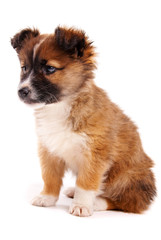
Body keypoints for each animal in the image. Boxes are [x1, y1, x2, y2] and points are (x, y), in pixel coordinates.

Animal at [11, 26, 156, 218]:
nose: (22, 91)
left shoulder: (95, 155)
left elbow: (87, 182)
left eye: (50, 68)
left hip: (127, 177)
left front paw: (82, 205)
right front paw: (47, 197)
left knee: (130, 201)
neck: (61, 106)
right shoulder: (49, 149)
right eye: (24, 68)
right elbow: (50, 177)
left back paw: (98, 202)